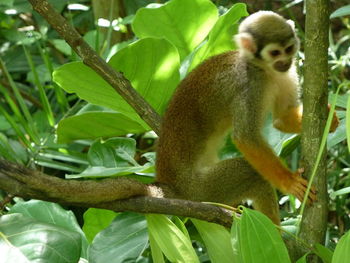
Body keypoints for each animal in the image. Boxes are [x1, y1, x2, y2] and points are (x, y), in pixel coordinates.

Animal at [156, 10, 340, 225]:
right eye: (275, 53)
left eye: (288, 49)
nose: (285, 61)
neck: (263, 69)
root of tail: (166, 182)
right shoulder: (250, 87)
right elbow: (246, 137)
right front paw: (289, 182)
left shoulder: (287, 73)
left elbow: (282, 118)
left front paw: (329, 118)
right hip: (198, 192)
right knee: (251, 174)